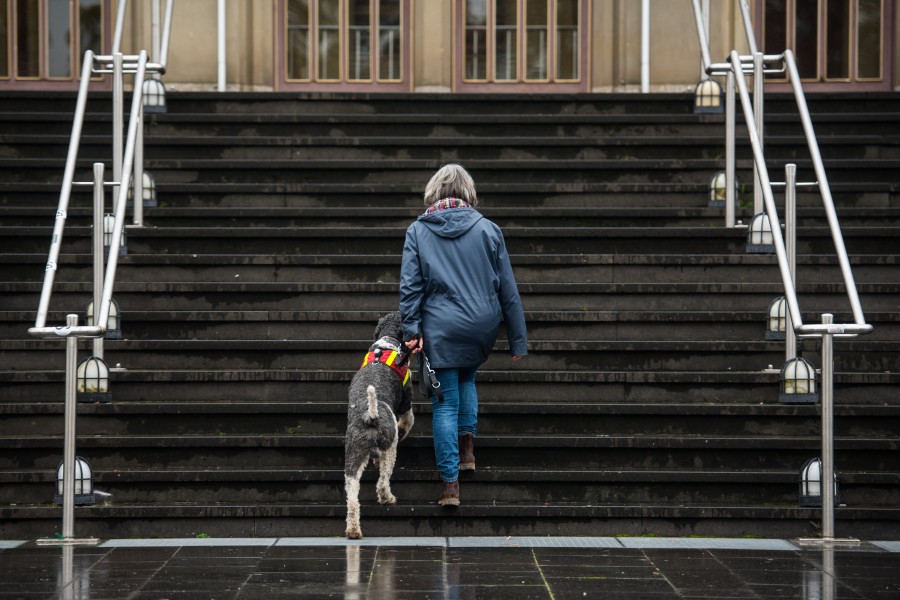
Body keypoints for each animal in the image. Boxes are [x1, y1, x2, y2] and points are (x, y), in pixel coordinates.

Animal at [344, 312, 414, 540]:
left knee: (352, 497)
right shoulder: (406, 399)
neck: (388, 343)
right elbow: (409, 419)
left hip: (353, 455)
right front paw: (404, 429)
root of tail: (370, 416)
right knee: (383, 481)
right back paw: (387, 498)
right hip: (389, 449)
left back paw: (353, 530)